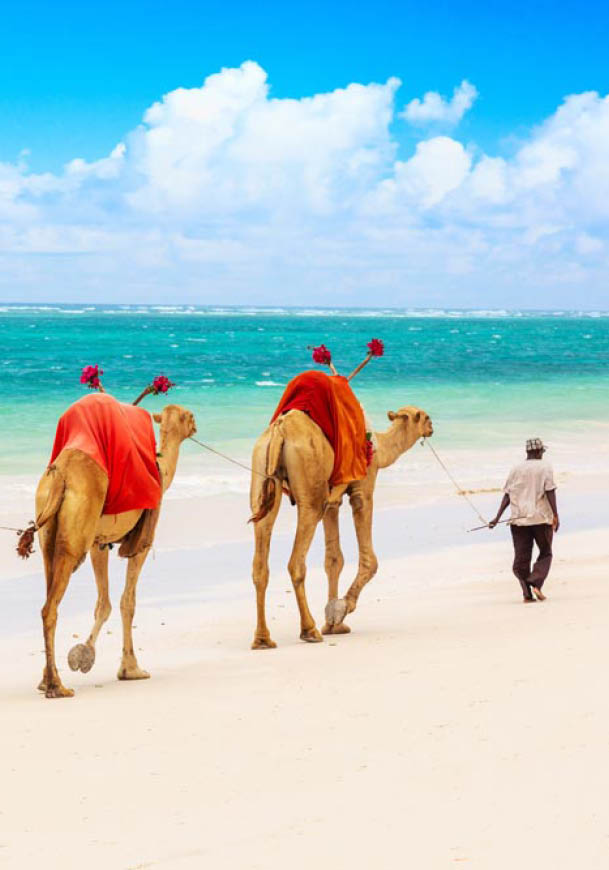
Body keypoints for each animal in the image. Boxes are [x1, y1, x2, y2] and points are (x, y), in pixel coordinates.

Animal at [31, 403, 196, 698]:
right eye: (188, 416)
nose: (196, 423)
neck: (161, 469)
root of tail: (61, 473)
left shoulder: (99, 543)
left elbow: (104, 602)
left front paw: (83, 656)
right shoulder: (140, 544)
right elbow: (126, 602)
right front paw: (130, 669)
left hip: (47, 532)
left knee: (48, 594)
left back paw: (47, 680)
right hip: (74, 536)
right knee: (50, 607)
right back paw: (57, 687)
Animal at [249, 404, 433, 649]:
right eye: (426, 417)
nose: (431, 428)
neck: (379, 447)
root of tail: (280, 430)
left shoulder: (332, 502)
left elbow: (333, 560)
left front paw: (333, 624)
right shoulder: (363, 486)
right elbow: (369, 560)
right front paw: (342, 608)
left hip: (262, 475)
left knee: (261, 561)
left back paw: (263, 639)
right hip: (310, 490)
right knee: (296, 561)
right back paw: (309, 630)